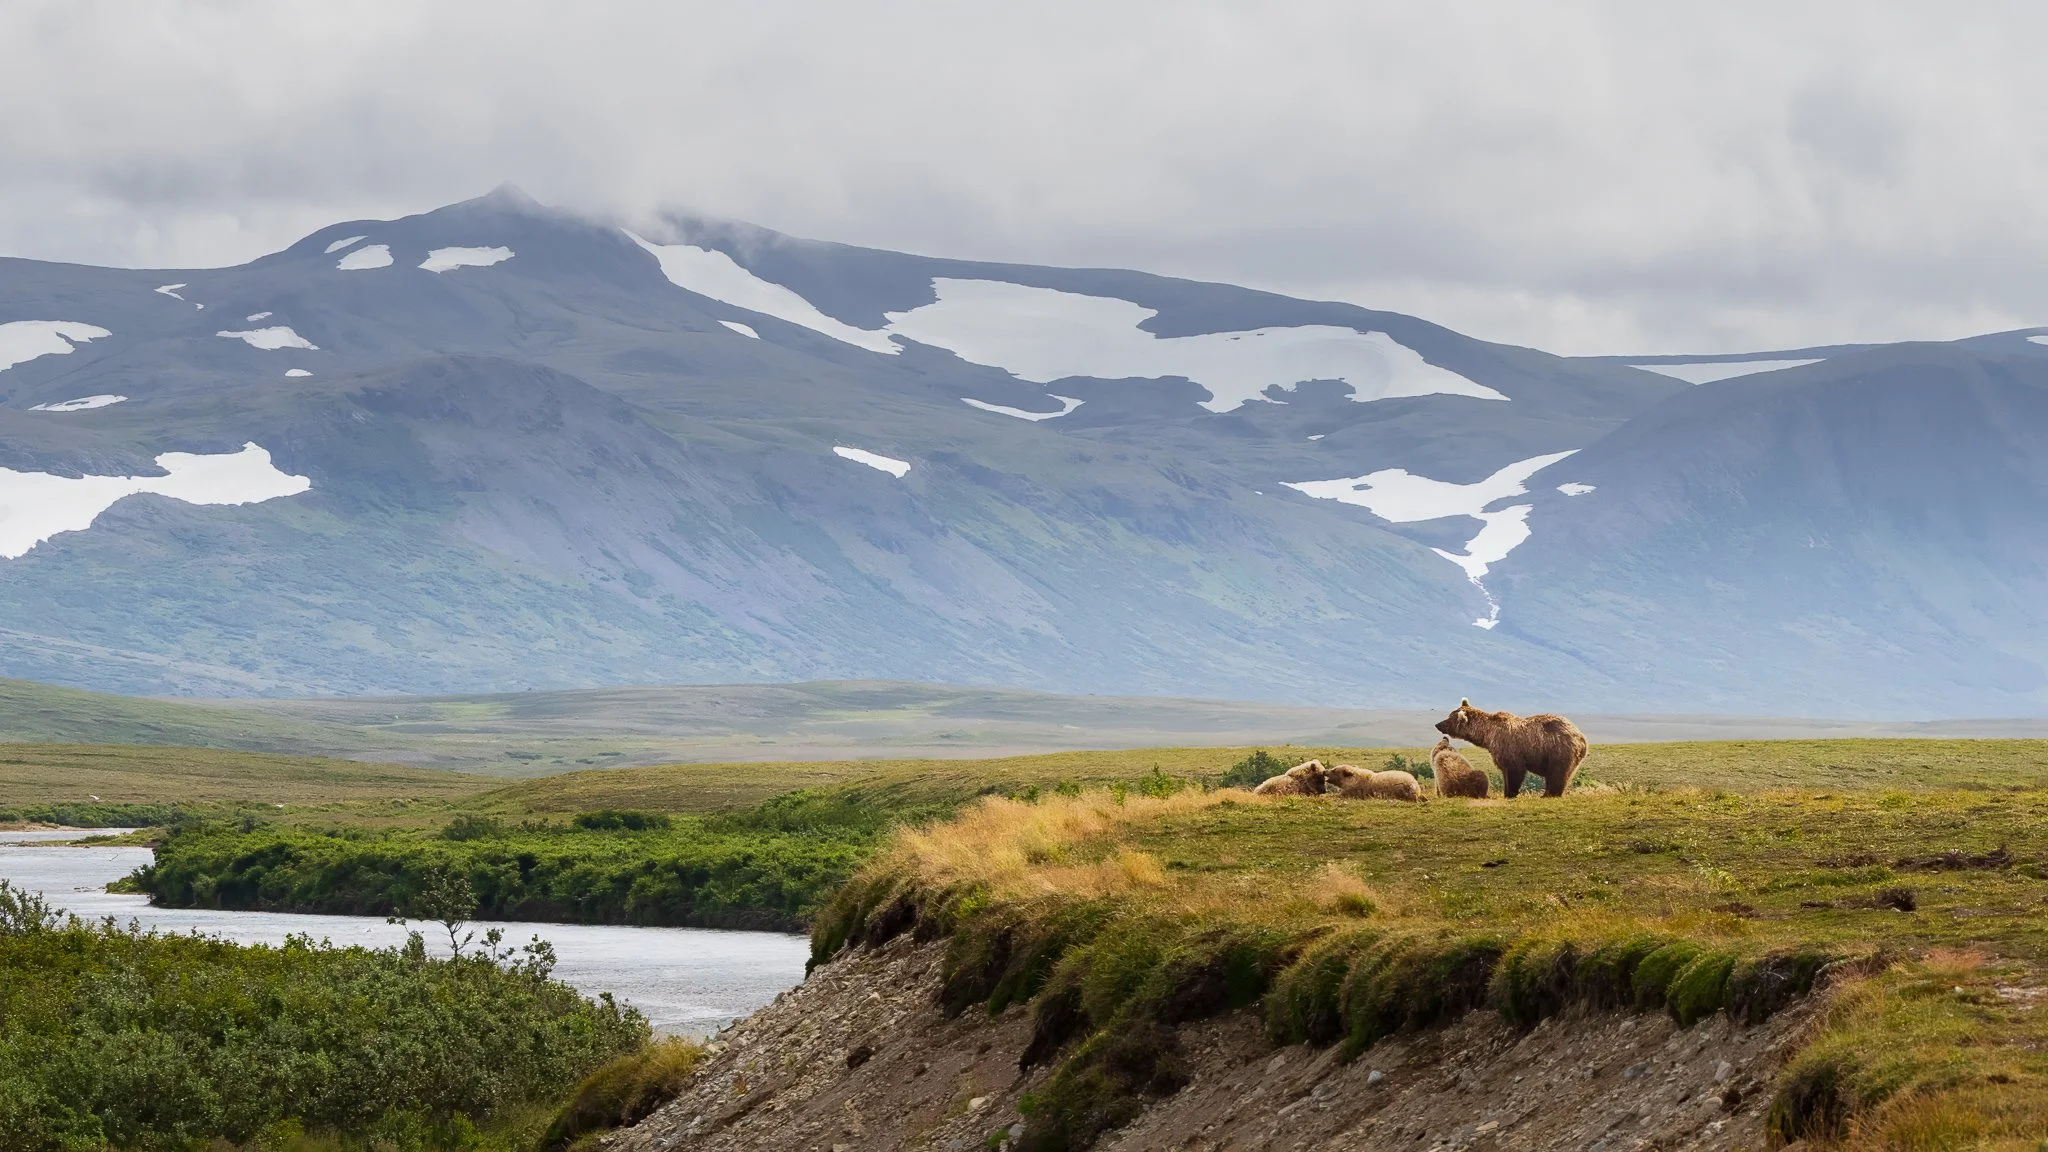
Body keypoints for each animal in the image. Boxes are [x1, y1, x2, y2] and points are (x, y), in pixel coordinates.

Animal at [1434, 699, 1587, 798]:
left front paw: (1510, 793)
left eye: (1449, 718)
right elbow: (1505, 772)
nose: (1437, 724)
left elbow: (1514, 771)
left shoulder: (1510, 748)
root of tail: (1581, 736)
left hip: (1558, 750)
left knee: (1557, 773)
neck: (1487, 734)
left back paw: (1548, 794)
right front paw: (1506, 791)